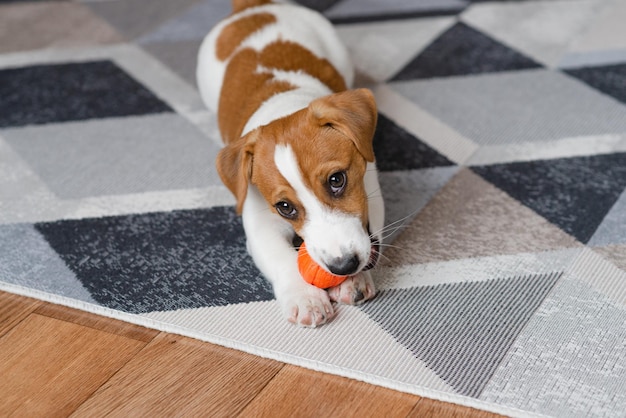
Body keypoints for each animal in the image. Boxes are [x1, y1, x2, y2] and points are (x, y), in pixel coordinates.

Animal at [195, 0, 382, 326]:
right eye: (285, 207)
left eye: (337, 179)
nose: (344, 266)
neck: (284, 103)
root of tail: (255, 7)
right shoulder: (260, 225)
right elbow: (281, 258)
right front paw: (305, 296)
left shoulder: (372, 187)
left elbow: (371, 230)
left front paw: (354, 280)